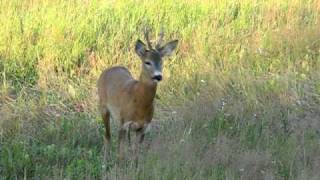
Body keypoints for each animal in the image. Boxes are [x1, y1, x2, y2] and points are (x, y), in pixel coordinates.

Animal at [97, 28, 178, 160]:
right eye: (147, 62)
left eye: (161, 62)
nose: (158, 76)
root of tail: (110, 69)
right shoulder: (124, 123)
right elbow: (121, 154)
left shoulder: (143, 127)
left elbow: (136, 155)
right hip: (103, 107)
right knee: (107, 136)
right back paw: (105, 161)